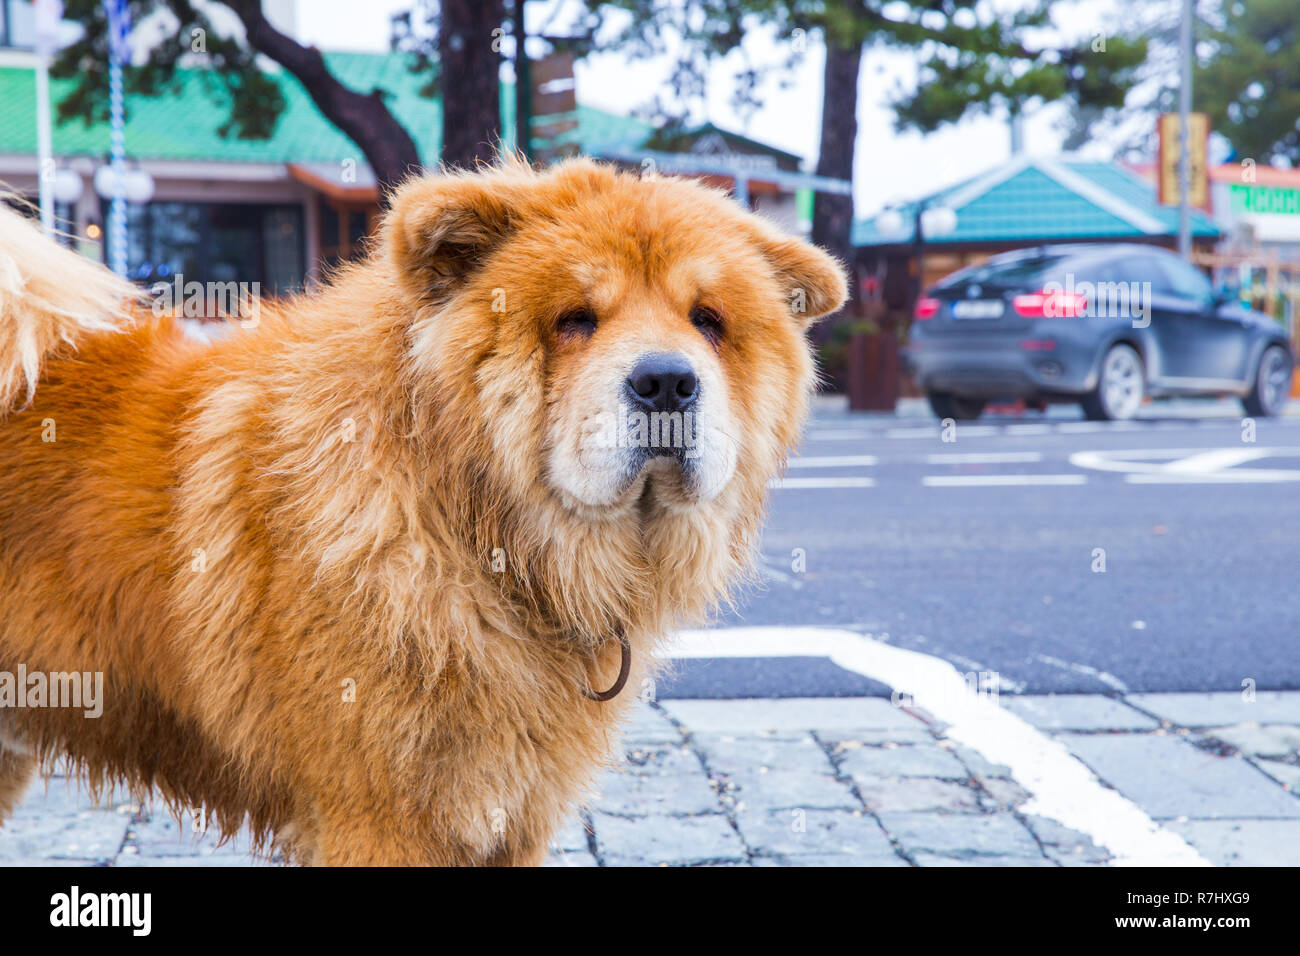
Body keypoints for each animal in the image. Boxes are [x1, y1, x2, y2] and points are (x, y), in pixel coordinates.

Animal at [0, 158, 842, 868]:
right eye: (574, 319)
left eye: (709, 321)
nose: (667, 382)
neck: (483, 544)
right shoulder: (380, 820)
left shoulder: (511, 817)